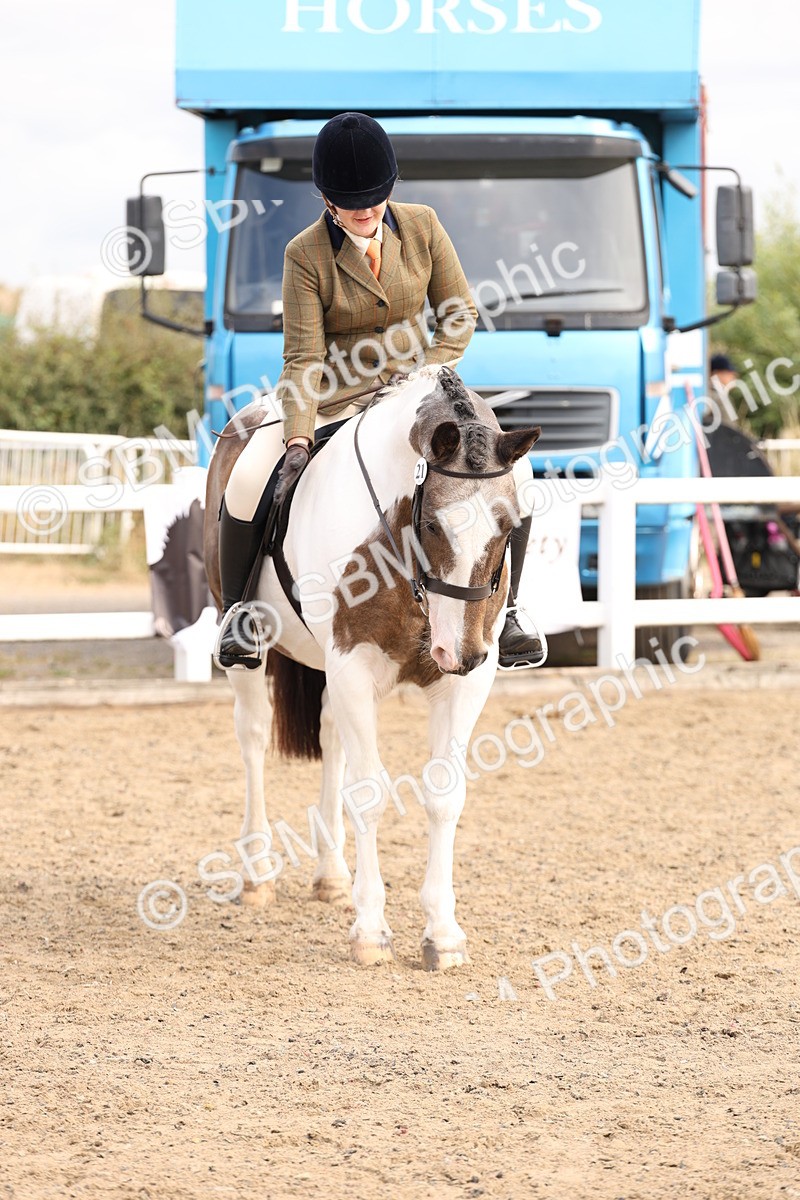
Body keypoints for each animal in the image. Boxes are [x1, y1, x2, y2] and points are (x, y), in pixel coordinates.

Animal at [203, 364, 540, 970]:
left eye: (508, 529)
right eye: (432, 526)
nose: (459, 653)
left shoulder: (463, 686)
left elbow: (444, 795)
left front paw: (443, 934)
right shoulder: (354, 668)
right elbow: (369, 794)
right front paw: (370, 931)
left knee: (330, 737)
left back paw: (332, 877)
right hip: (250, 646)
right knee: (254, 737)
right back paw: (258, 874)